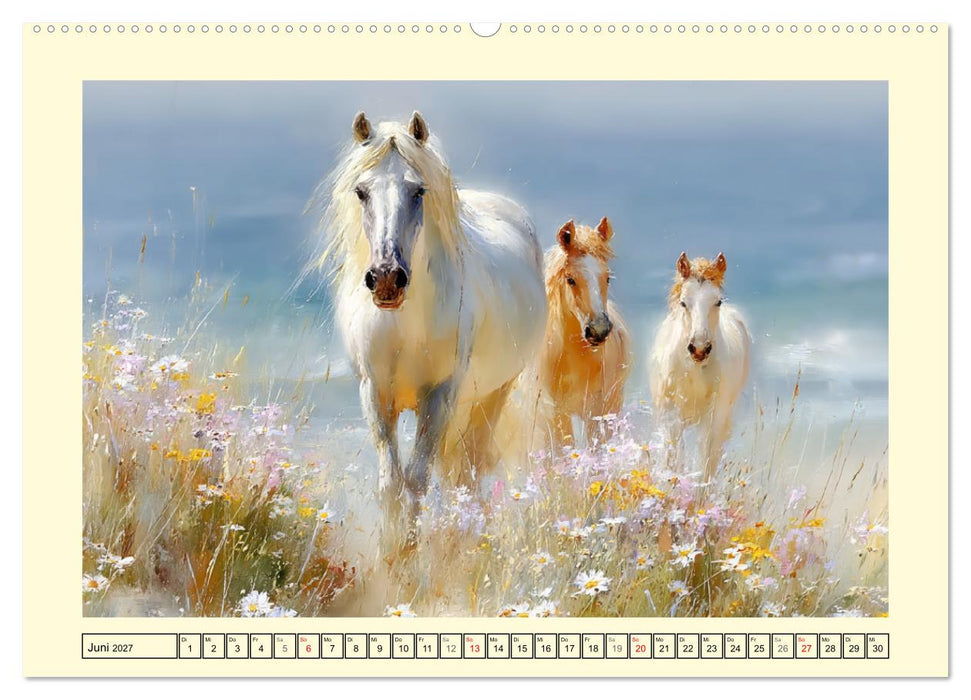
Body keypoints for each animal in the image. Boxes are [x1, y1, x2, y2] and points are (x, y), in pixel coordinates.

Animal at [312, 111, 546, 540]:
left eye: (418, 191)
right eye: (361, 192)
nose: (386, 278)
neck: (404, 327)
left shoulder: (438, 396)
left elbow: (417, 480)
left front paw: (409, 548)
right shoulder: (374, 393)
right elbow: (392, 483)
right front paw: (389, 549)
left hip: (492, 394)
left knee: (470, 470)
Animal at [648, 252, 751, 482]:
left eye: (717, 302)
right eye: (683, 302)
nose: (699, 349)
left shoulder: (714, 416)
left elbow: (705, 461)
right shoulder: (670, 414)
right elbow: (674, 456)